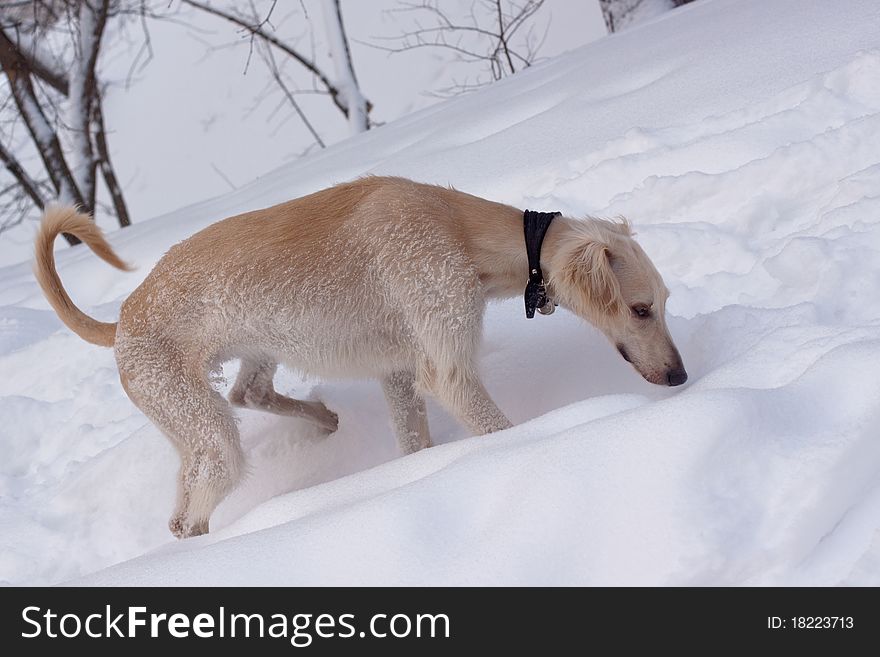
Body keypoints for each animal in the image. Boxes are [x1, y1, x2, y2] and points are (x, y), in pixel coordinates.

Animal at [34, 177, 684, 536]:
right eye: (641, 309)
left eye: (664, 302)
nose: (681, 376)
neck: (455, 227)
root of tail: (122, 320)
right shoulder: (446, 365)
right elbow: (494, 425)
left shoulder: (397, 372)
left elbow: (415, 445)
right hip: (207, 432)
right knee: (192, 517)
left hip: (237, 374)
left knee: (247, 396)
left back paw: (324, 420)